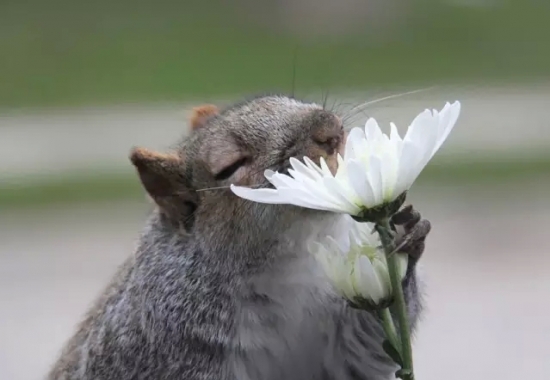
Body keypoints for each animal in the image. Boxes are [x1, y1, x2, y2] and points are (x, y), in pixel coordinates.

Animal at [47, 95, 434, 380]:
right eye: (230, 166)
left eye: (286, 99)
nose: (329, 129)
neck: (287, 263)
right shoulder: (161, 345)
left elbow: (367, 347)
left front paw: (407, 234)